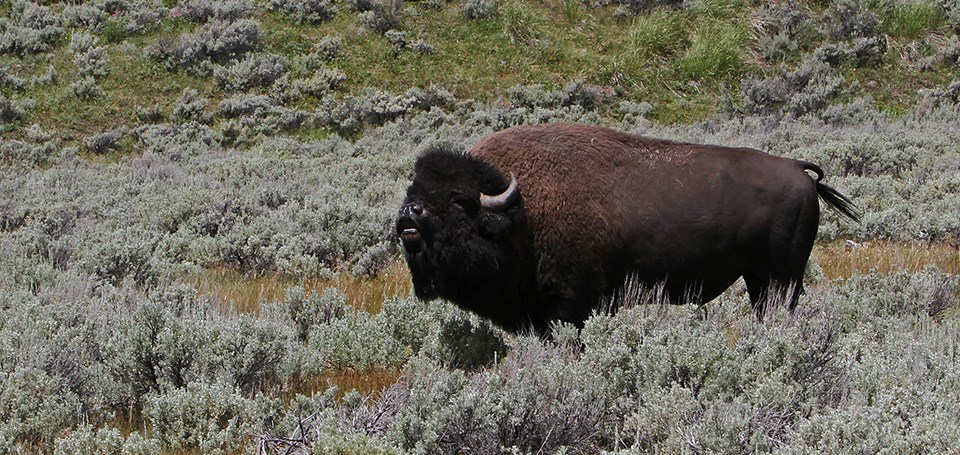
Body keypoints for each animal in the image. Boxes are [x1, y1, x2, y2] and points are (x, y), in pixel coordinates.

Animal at [394, 123, 860, 336]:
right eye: (414, 189)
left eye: (458, 201)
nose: (408, 216)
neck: (518, 213)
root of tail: (800, 171)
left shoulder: (571, 307)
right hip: (757, 278)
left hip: (783, 277)